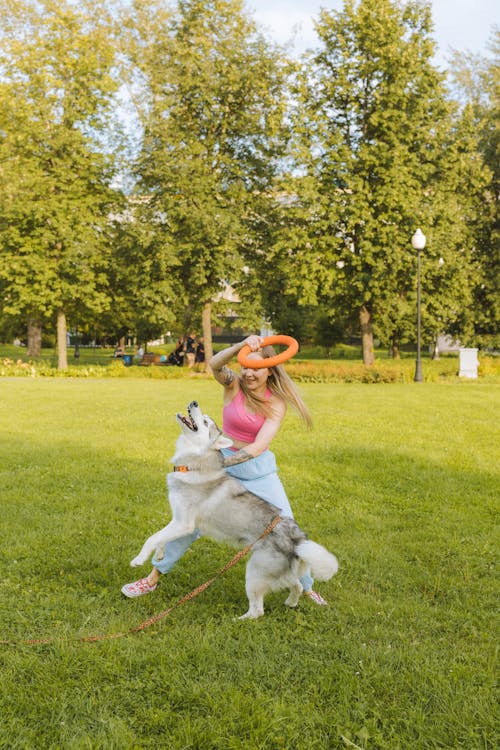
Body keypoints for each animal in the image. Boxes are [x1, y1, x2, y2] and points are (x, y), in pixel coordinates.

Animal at [131, 402, 338, 620]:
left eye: (205, 422)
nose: (194, 402)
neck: (195, 464)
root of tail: (297, 538)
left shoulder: (183, 523)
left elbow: (152, 538)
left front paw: (138, 559)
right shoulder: (178, 521)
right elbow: (161, 538)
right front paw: (159, 555)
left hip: (254, 573)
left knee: (258, 611)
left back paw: (236, 620)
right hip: (280, 573)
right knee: (296, 586)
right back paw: (290, 602)